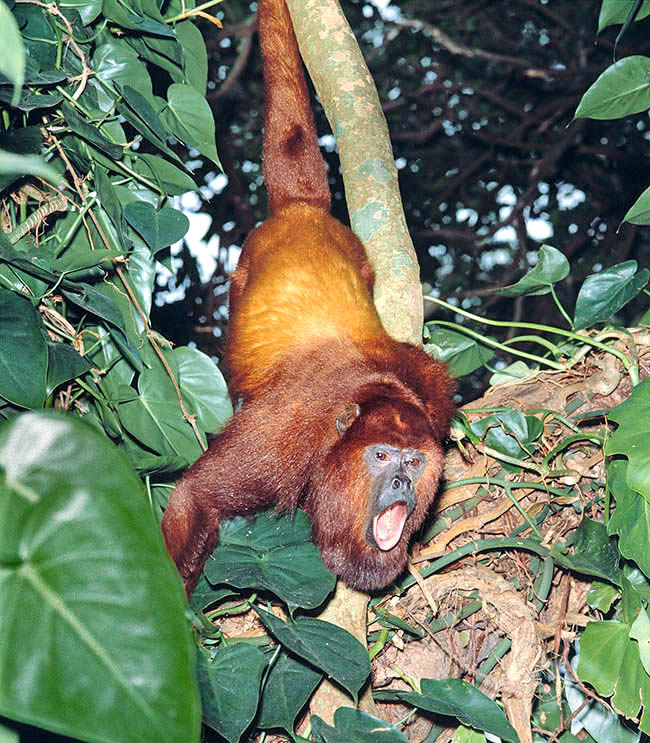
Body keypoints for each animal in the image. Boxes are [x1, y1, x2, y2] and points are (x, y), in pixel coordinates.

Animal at [161, 0, 454, 596]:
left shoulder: (434, 397)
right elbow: (196, 497)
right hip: (242, 273)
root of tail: (302, 210)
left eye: (414, 462)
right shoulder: (287, 434)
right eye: (381, 456)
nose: (400, 483)